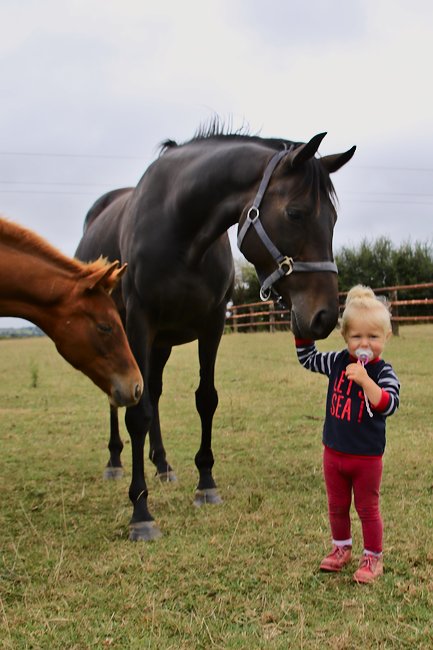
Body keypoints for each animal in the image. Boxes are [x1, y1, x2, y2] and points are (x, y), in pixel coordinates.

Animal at [75, 126, 356, 540]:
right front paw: (140, 511)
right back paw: (115, 461)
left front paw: (205, 483)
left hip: (161, 344)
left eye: (334, 218)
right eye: (295, 213)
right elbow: (137, 412)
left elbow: (205, 400)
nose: (323, 316)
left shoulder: (212, 325)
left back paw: (163, 464)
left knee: (153, 390)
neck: (179, 227)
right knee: (121, 397)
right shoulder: (140, 322)